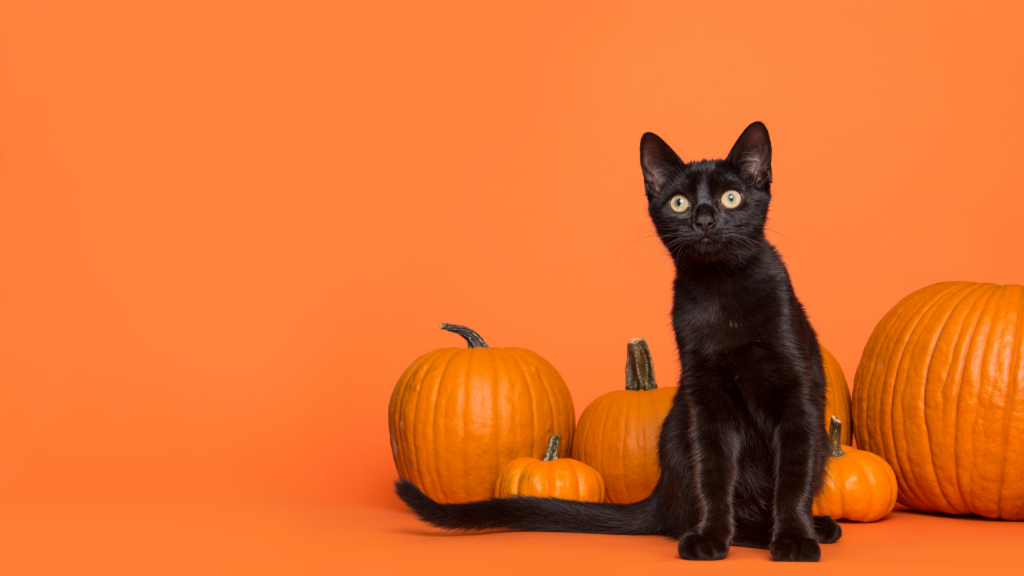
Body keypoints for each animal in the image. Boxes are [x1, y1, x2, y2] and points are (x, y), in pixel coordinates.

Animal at [393, 121, 839, 561]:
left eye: (731, 198)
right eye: (679, 203)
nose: (705, 220)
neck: (722, 291)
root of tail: (659, 491)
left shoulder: (796, 394)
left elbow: (793, 476)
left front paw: (794, 539)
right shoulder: (705, 399)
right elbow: (713, 475)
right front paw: (711, 537)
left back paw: (813, 527)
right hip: (683, 428)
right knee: (687, 510)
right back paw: (751, 531)